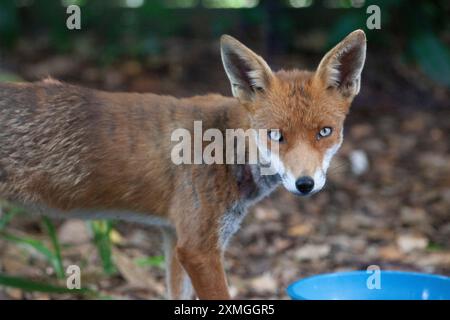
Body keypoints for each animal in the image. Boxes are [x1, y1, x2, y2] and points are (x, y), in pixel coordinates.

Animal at [0, 30, 366, 300]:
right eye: (275, 135)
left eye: (324, 132)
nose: (305, 184)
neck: (227, 148)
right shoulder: (198, 248)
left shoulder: (174, 237)